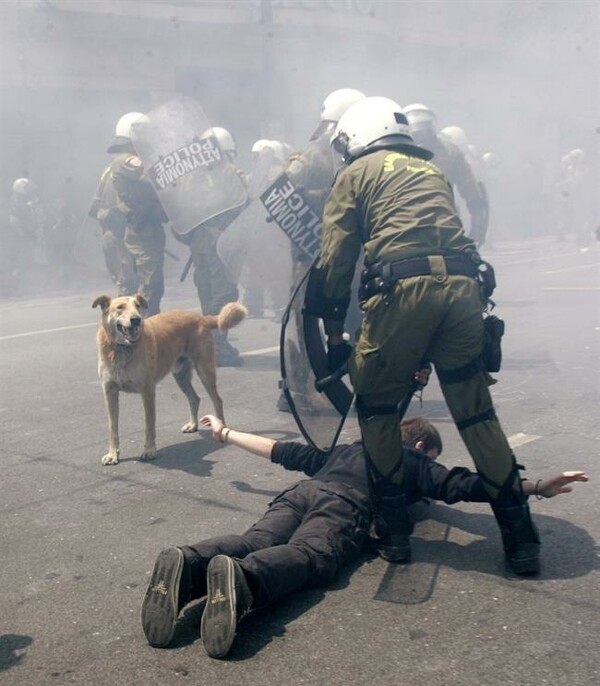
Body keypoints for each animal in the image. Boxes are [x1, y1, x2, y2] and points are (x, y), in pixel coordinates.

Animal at [92, 296, 246, 468]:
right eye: (120, 307)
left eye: (137, 306)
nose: (137, 320)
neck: (121, 348)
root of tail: (201, 318)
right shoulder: (110, 393)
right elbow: (113, 428)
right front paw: (113, 454)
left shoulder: (147, 392)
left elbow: (149, 426)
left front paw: (150, 450)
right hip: (181, 376)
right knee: (194, 398)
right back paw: (193, 425)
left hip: (205, 371)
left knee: (217, 400)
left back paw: (221, 429)